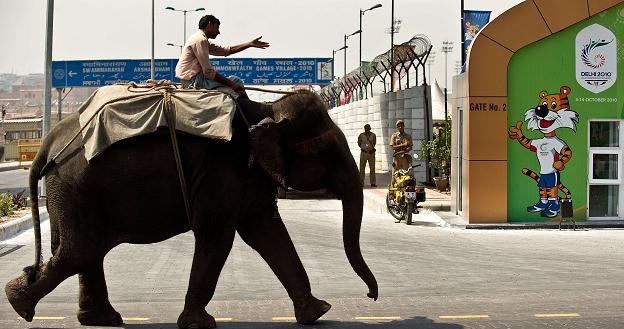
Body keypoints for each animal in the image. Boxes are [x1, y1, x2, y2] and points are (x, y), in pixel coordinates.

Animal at [4, 88, 378, 326]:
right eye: (327, 151)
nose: (372, 297)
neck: (265, 109)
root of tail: (48, 141)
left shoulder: (247, 176)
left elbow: (268, 231)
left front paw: (319, 312)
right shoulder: (221, 174)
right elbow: (218, 236)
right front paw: (199, 323)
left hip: (75, 193)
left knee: (84, 250)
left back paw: (99, 319)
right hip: (77, 188)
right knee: (80, 250)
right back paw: (18, 304)